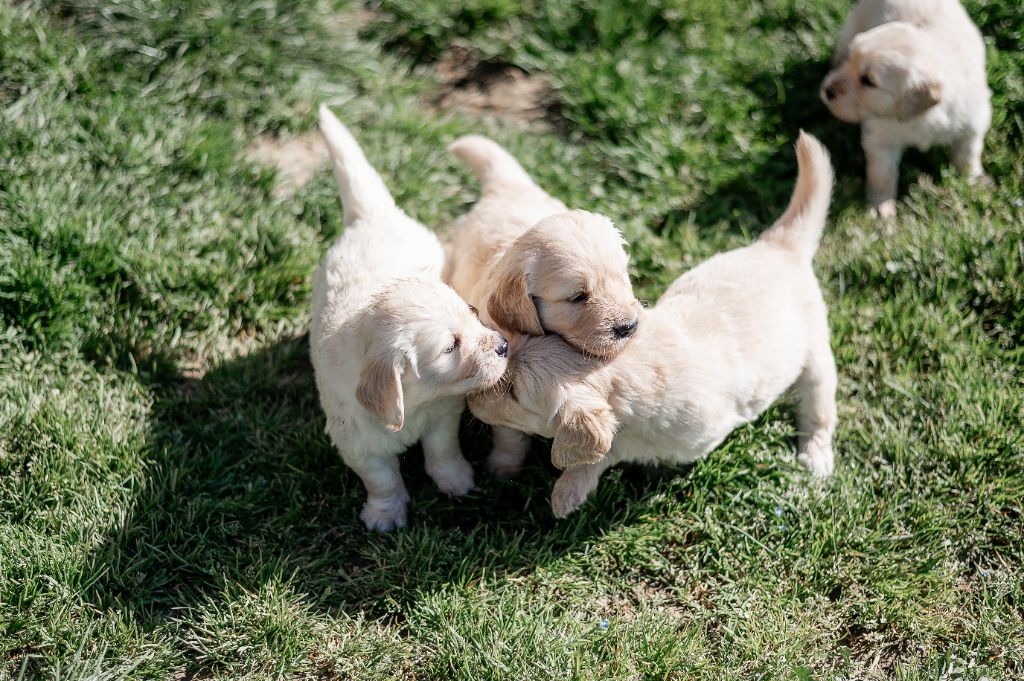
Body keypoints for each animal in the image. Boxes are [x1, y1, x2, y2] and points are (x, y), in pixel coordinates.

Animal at [307, 106, 507, 532]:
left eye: (472, 313)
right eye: (450, 347)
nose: (504, 346)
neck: (415, 404)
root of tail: (374, 215)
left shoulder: (444, 412)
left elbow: (443, 449)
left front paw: (456, 480)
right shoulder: (357, 442)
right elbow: (381, 479)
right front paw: (385, 514)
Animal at [446, 135, 638, 475]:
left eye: (623, 277)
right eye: (577, 297)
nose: (629, 327)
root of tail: (506, 185)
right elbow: (508, 429)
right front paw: (504, 467)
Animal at [471, 131, 839, 516]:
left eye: (514, 393)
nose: (470, 400)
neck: (621, 368)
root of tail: (780, 246)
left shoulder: (699, 434)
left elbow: (607, 450)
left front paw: (568, 488)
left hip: (816, 357)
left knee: (821, 409)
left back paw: (816, 457)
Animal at [823, 0, 991, 218]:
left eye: (868, 81)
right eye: (851, 61)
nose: (827, 90)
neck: (919, 117)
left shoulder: (973, 123)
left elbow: (969, 154)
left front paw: (973, 181)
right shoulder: (881, 139)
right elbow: (882, 174)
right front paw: (880, 206)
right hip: (850, 30)